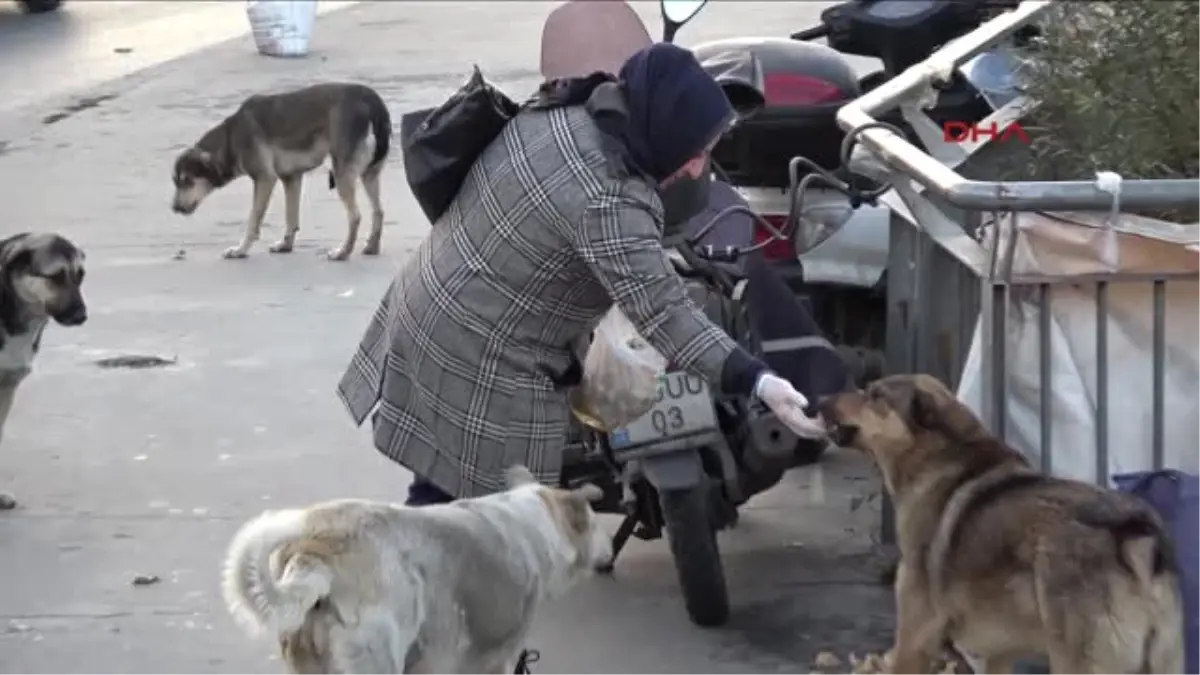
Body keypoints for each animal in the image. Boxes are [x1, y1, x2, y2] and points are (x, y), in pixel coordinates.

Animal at [169, 82, 391, 261]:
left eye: (187, 181)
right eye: (176, 182)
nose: (174, 208)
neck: (230, 137)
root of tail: (370, 99)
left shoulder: (264, 179)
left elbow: (254, 218)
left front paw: (241, 250)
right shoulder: (291, 178)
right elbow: (291, 217)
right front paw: (286, 245)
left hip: (342, 172)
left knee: (355, 216)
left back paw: (343, 252)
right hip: (370, 173)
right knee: (378, 211)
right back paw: (372, 246)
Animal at [820, 372, 1185, 672]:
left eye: (874, 395)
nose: (820, 402)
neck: (937, 459)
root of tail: (1134, 535)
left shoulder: (915, 635)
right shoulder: (997, 654)